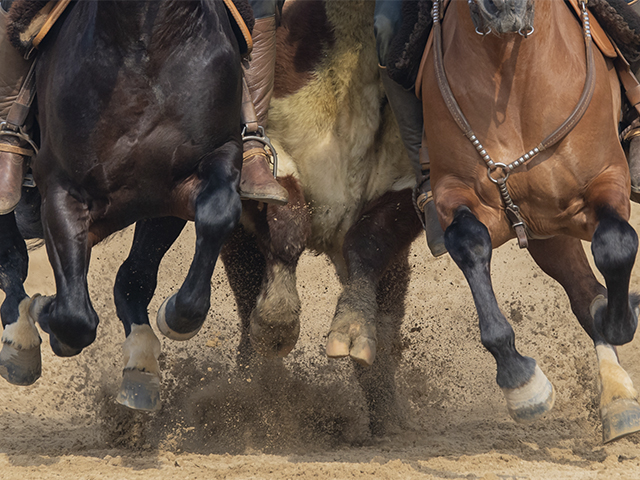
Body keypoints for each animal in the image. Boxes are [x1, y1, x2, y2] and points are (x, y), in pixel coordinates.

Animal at [0, 0, 245, 410]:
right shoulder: (63, 189)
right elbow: (74, 316)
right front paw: (46, 311)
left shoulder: (178, 187)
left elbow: (215, 214)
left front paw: (175, 317)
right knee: (12, 259)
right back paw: (20, 338)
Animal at [420, 0, 640, 442]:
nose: (501, 7)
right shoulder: (457, 193)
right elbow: (469, 242)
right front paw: (521, 381)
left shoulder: (607, 178)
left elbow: (616, 244)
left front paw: (622, 319)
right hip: (549, 236)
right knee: (583, 292)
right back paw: (617, 398)